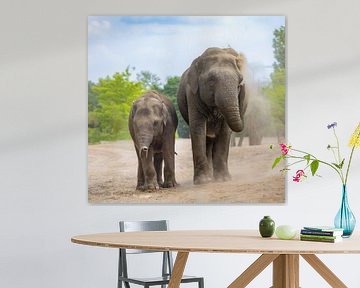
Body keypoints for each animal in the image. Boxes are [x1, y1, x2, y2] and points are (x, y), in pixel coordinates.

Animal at [177, 46, 248, 183]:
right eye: (211, 81)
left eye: (239, 83)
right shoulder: (192, 93)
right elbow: (198, 128)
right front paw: (202, 181)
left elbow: (225, 131)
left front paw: (223, 179)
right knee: (207, 140)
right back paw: (209, 177)